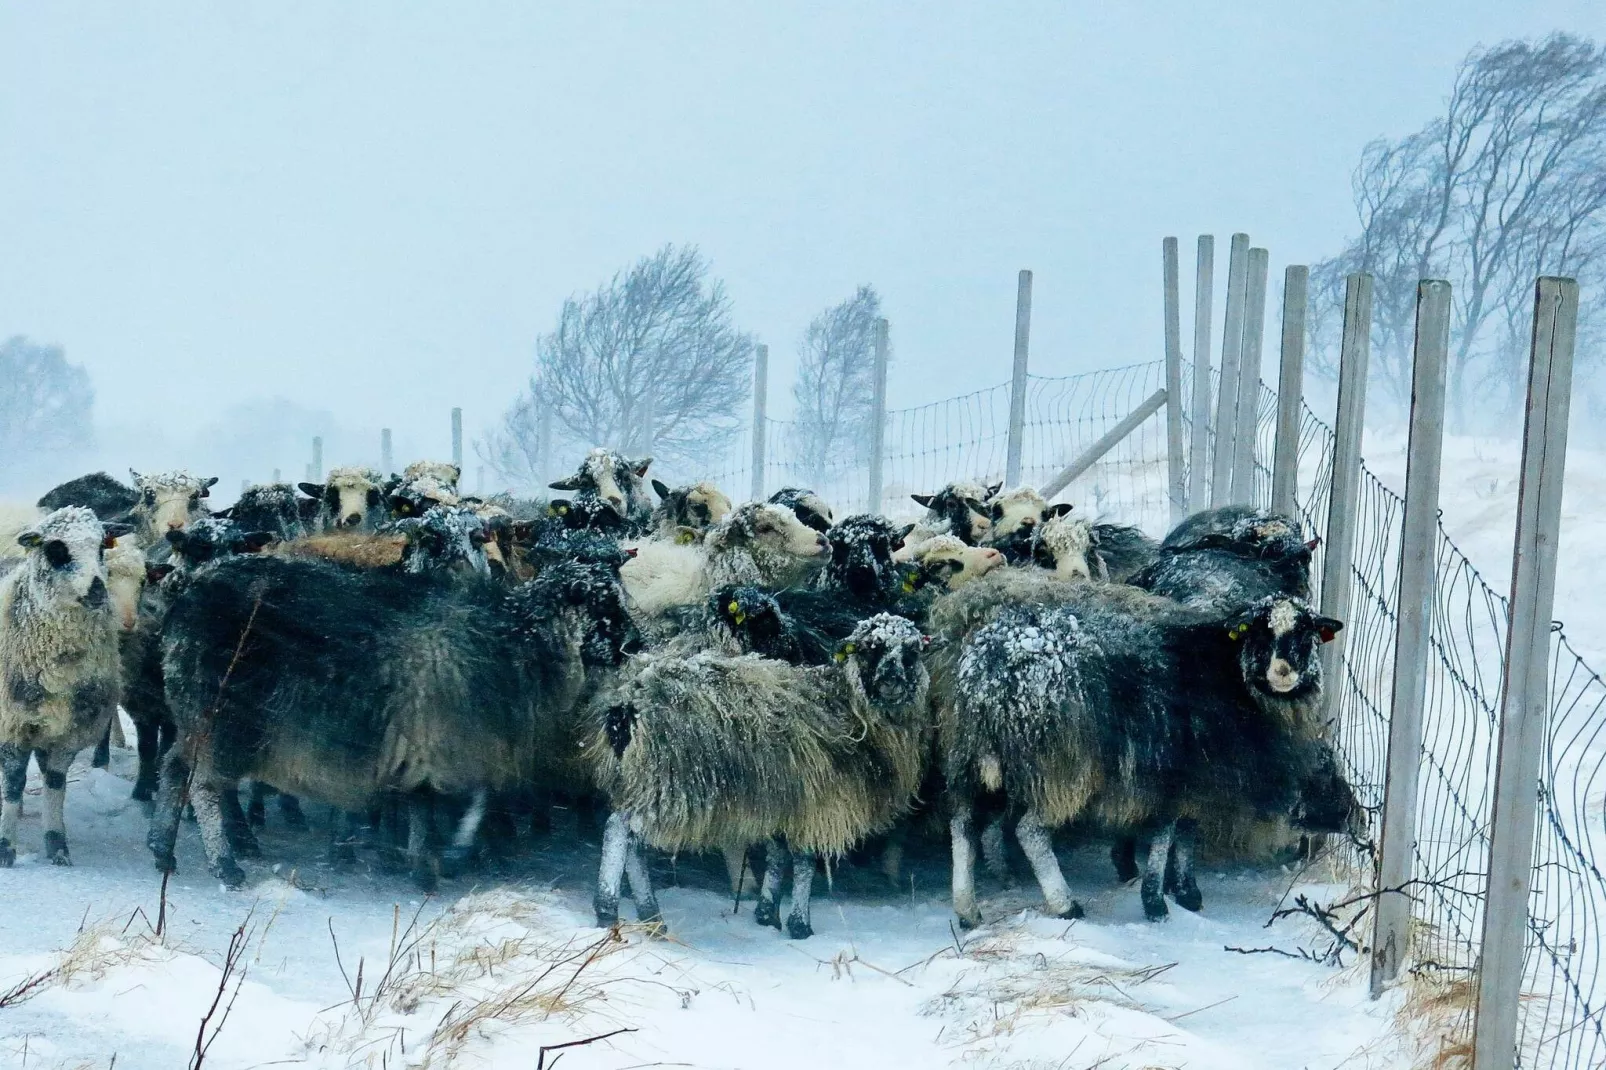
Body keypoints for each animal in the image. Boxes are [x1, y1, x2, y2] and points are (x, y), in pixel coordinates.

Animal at [0, 504, 128, 861]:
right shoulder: (13, 725)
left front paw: (57, 845)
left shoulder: (67, 733)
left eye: (102, 547)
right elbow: (13, 783)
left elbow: (55, 784)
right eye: (56, 549)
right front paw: (6, 847)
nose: (97, 589)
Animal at [594, 613, 937, 938]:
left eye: (912, 652)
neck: (851, 710)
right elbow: (804, 862)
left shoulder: (785, 801)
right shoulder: (819, 804)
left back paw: (650, 918)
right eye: (870, 648)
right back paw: (609, 910)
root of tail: (626, 705)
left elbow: (777, 856)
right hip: (671, 782)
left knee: (633, 844)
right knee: (618, 830)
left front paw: (767, 914)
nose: (891, 680)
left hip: (637, 779)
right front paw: (800, 925)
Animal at [937, 578, 1355, 918]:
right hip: (1060, 766)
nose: (1283, 672)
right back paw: (1065, 905)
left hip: (977, 756)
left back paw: (967, 909)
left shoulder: (1192, 779)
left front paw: (1183, 891)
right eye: (1260, 632)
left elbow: (1184, 834)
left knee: (963, 824)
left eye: (1306, 635)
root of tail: (995, 668)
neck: (1230, 676)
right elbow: (1167, 836)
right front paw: (1159, 901)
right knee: (1030, 831)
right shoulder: (1177, 771)